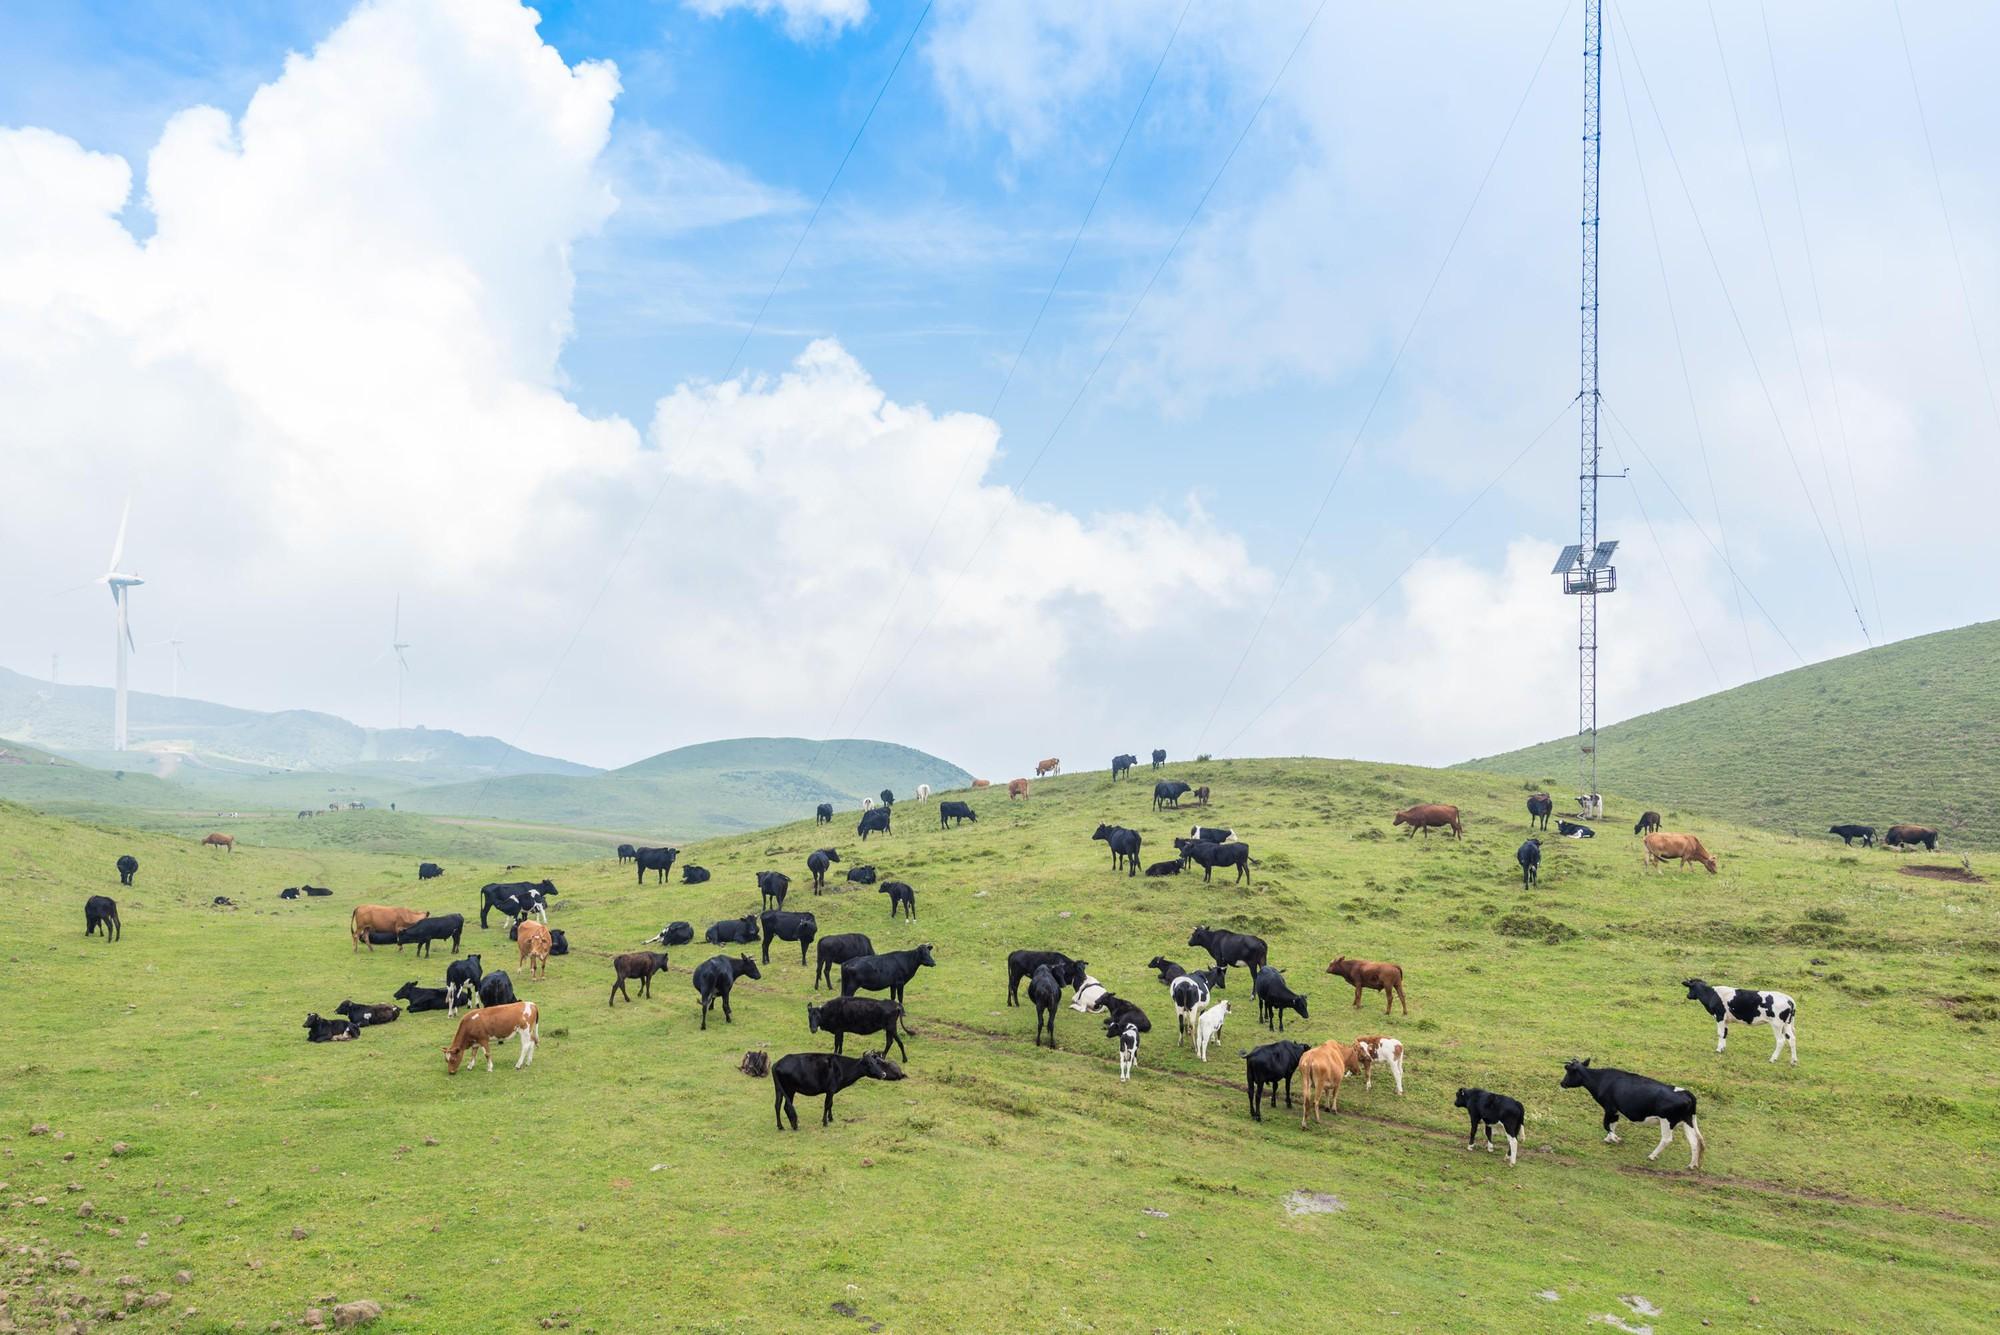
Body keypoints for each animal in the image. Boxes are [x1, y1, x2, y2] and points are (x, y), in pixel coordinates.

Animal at [768, 1055, 904, 1127]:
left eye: (877, 1062)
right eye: (869, 1064)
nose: (883, 1074)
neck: (842, 1068)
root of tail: (777, 1063)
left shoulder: (832, 1090)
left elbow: (831, 1104)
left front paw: (831, 1118)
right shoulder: (830, 1089)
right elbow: (827, 1104)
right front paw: (825, 1122)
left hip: (779, 1089)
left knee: (777, 1105)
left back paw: (780, 1126)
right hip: (789, 1090)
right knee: (786, 1106)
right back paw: (793, 1125)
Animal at [1560, 1063, 1704, 1167]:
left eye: (1568, 1072)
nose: (1562, 1083)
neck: (1601, 1080)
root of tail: (1686, 1093)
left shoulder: (1610, 1108)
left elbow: (1606, 1125)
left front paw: (1615, 1138)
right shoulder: (1615, 1111)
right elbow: (1612, 1125)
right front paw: (1609, 1139)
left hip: (1667, 1121)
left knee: (1667, 1139)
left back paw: (1652, 1156)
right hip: (1687, 1121)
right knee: (1694, 1141)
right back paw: (1692, 1165)